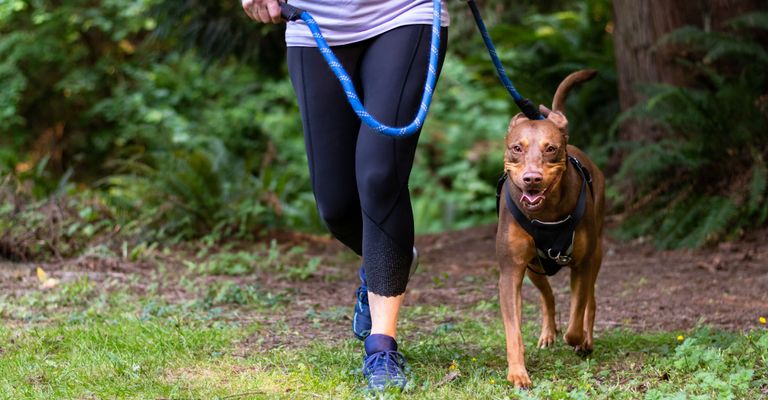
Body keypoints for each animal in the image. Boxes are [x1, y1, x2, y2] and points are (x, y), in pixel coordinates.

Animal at [498, 69, 608, 388]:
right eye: (517, 148)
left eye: (550, 148)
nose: (532, 178)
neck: (546, 214)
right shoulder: (510, 271)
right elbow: (513, 329)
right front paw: (518, 373)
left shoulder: (582, 264)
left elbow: (577, 313)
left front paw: (578, 338)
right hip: (535, 267)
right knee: (547, 296)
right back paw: (549, 333)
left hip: (596, 253)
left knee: (590, 300)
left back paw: (585, 339)